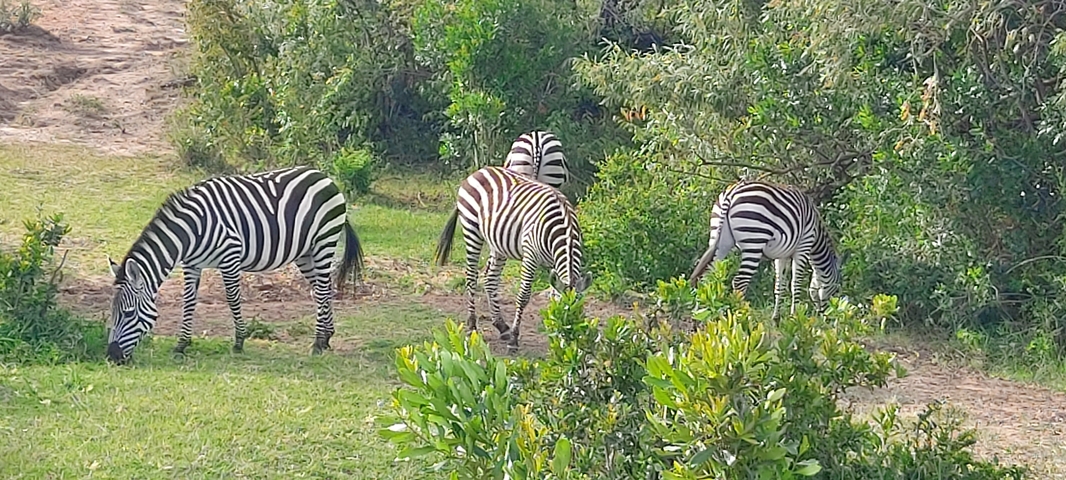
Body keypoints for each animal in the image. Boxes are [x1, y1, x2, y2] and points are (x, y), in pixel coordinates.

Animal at [106, 166, 364, 364]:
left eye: (128, 313)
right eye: (113, 312)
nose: (111, 357)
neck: (190, 232)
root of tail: (324, 177)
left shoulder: (229, 256)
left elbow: (232, 298)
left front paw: (239, 341)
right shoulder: (192, 264)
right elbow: (188, 302)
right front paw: (182, 344)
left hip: (323, 241)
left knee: (321, 290)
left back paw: (318, 342)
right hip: (305, 252)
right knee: (324, 289)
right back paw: (327, 337)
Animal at [433, 166, 590, 350]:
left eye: (579, 311)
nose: (570, 345)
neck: (564, 231)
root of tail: (480, 170)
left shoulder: (555, 264)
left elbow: (552, 296)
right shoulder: (530, 256)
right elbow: (524, 296)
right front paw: (514, 338)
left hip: (498, 242)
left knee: (490, 279)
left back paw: (501, 326)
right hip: (472, 229)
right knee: (471, 277)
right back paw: (472, 327)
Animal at [689, 181, 842, 319]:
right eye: (835, 290)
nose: (827, 318)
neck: (816, 236)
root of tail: (732, 193)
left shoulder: (782, 255)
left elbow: (780, 286)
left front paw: (776, 319)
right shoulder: (803, 246)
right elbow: (795, 284)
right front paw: (795, 317)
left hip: (720, 240)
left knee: (706, 277)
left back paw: (702, 315)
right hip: (755, 240)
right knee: (739, 282)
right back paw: (741, 316)